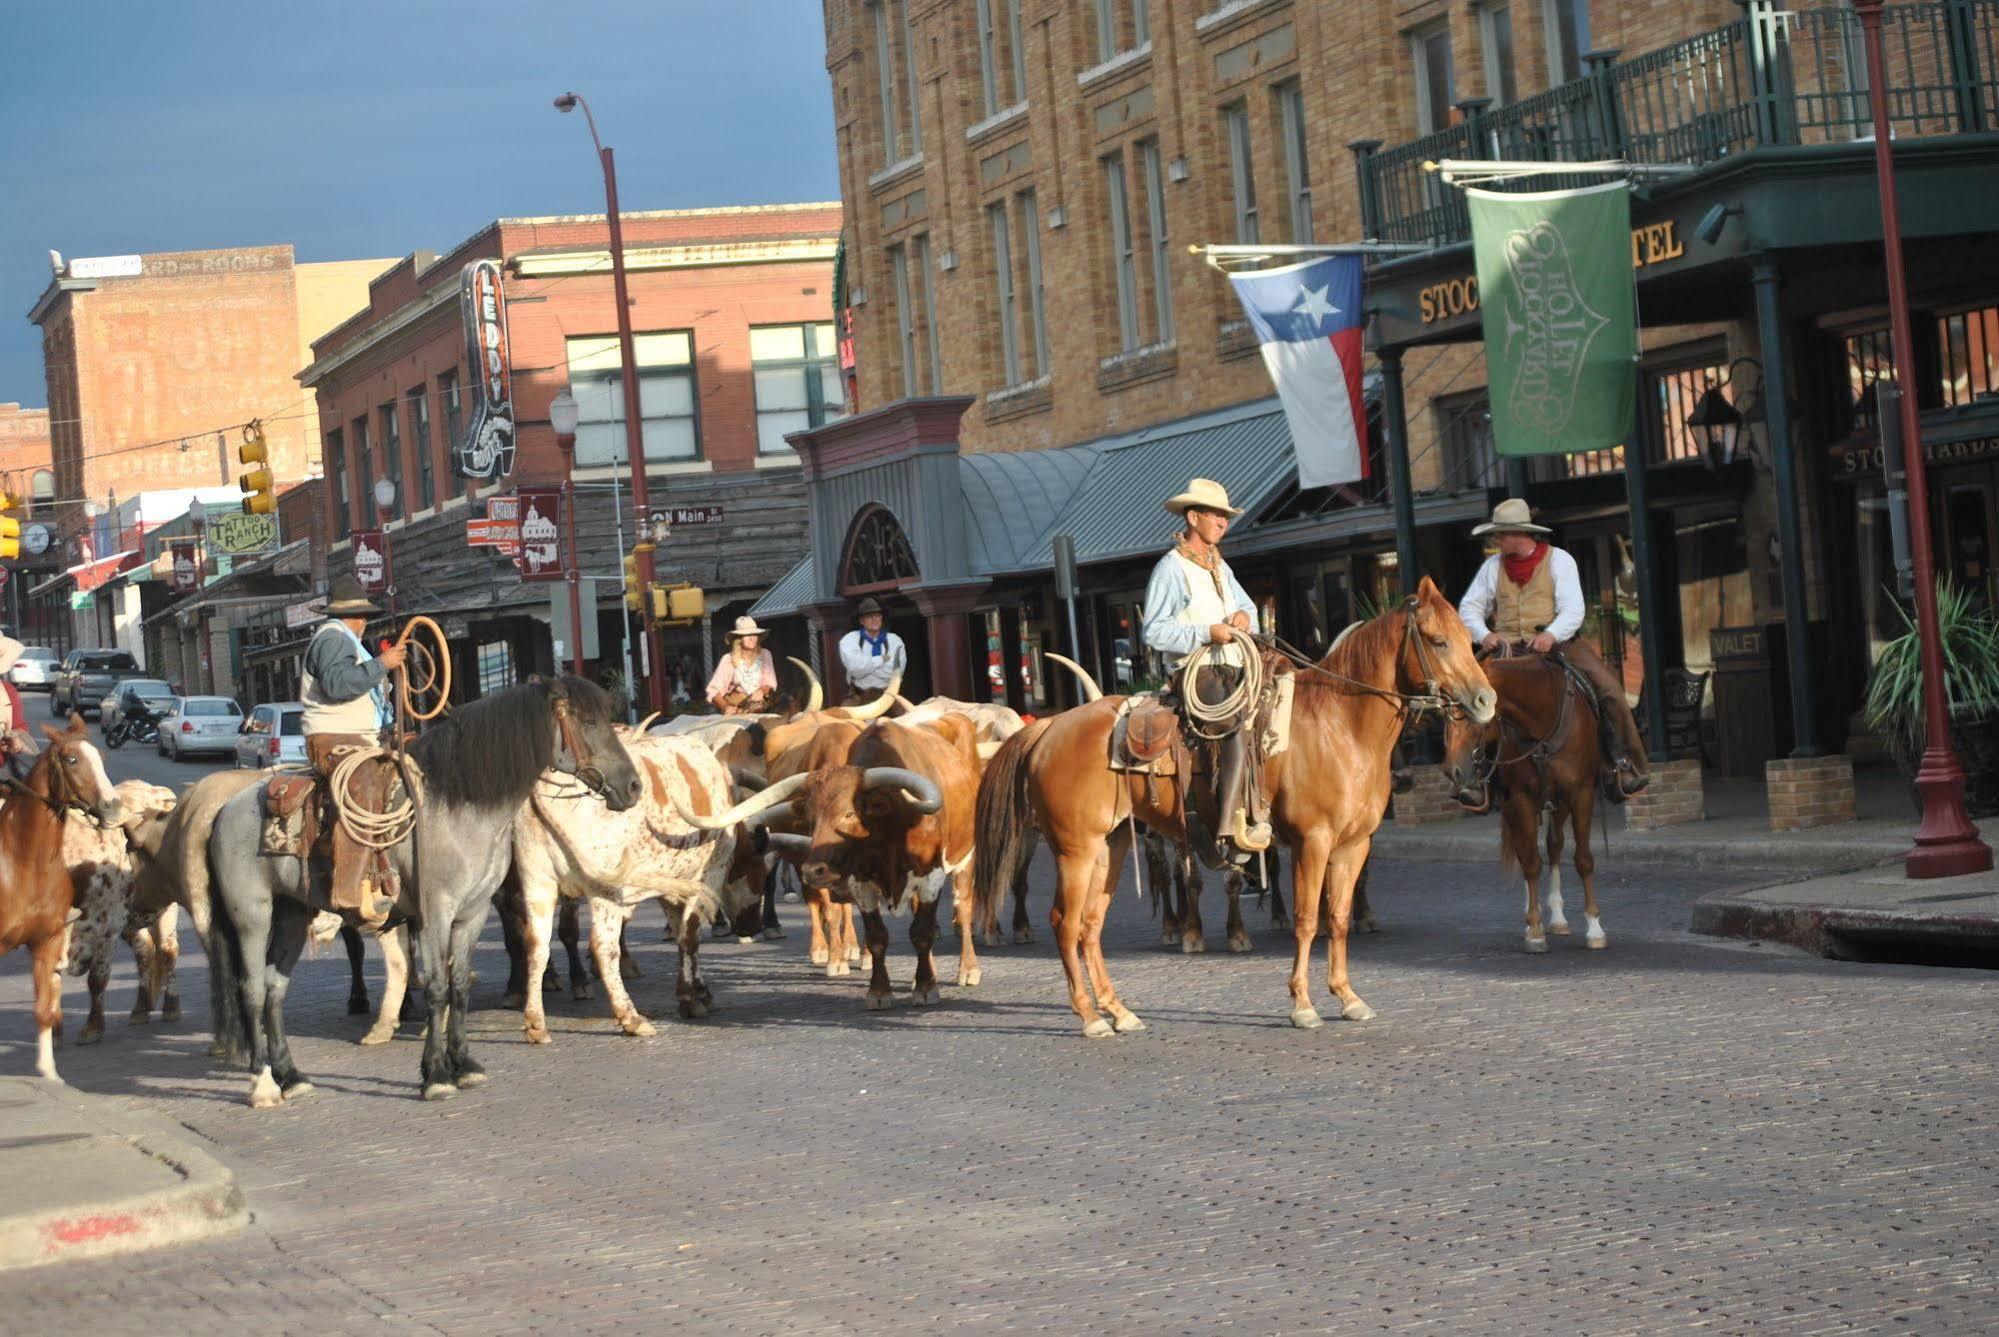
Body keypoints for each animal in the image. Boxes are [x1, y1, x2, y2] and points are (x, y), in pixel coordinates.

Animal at [0, 715, 126, 1079]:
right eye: (71, 760)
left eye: (101, 756)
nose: (113, 806)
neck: (24, 863)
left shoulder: (48, 941)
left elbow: (44, 1007)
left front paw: (49, 1070)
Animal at [202, 679, 639, 1103]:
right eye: (588, 722)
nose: (633, 786)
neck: (460, 809)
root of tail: (225, 810)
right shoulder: (434, 914)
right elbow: (436, 988)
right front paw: (436, 1075)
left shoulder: (473, 913)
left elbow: (459, 986)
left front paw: (464, 1064)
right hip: (253, 916)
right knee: (251, 989)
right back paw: (263, 1083)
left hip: (292, 913)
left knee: (274, 989)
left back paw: (290, 1076)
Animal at [975, 579, 1495, 1039]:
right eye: (1439, 641)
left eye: (1468, 639)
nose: (1486, 700)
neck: (1340, 725)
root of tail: (1047, 727)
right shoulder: (1312, 841)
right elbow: (1308, 919)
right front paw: (1302, 1004)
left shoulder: (1354, 845)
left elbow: (1339, 917)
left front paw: (1347, 996)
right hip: (1075, 850)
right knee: (1065, 923)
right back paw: (1089, 1017)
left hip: (1111, 846)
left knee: (1089, 925)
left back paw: (1118, 1011)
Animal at [1447, 647, 1615, 947]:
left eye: (1472, 711)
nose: (1453, 771)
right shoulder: (1519, 799)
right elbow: (1530, 862)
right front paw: (1535, 929)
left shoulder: (1581, 793)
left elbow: (1583, 859)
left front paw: (1595, 928)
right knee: (1526, 851)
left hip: (1558, 803)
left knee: (1554, 845)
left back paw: (1558, 919)